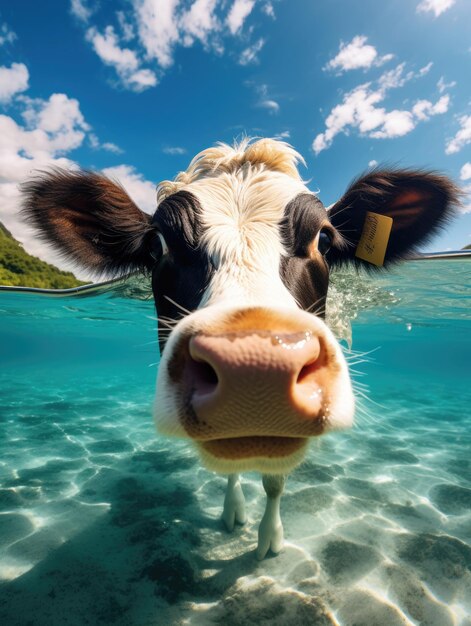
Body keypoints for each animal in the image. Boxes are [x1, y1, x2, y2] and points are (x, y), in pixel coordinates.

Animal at [20, 138, 460, 556]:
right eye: (158, 245)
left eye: (323, 238)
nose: (254, 369)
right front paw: (234, 512)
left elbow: (275, 482)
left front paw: (269, 537)